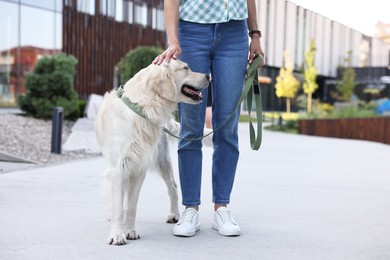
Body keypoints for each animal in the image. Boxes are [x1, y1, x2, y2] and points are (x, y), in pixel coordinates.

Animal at [94, 59, 210, 246]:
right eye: (185, 68)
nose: (208, 76)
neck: (143, 109)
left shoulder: (139, 167)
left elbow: (132, 205)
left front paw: (130, 230)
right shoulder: (118, 169)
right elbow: (119, 203)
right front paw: (117, 234)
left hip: (162, 160)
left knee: (173, 186)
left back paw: (174, 214)